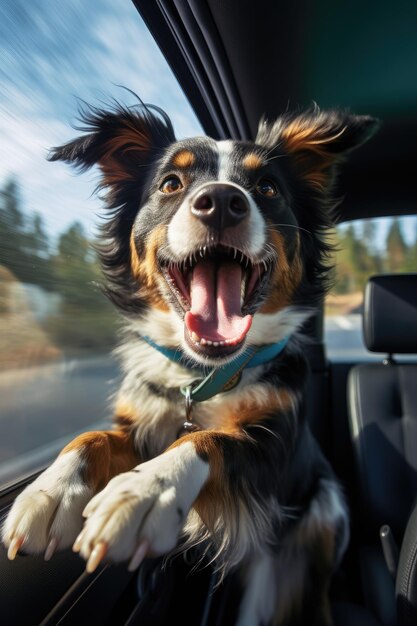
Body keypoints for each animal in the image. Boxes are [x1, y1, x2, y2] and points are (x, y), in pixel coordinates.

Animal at [1, 102, 376, 624]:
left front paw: (144, 492)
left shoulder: (275, 447)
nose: (221, 201)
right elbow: (92, 436)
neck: (202, 376)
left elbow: (206, 439)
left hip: (325, 511)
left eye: (268, 188)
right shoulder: (142, 423)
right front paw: (52, 490)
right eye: (170, 184)